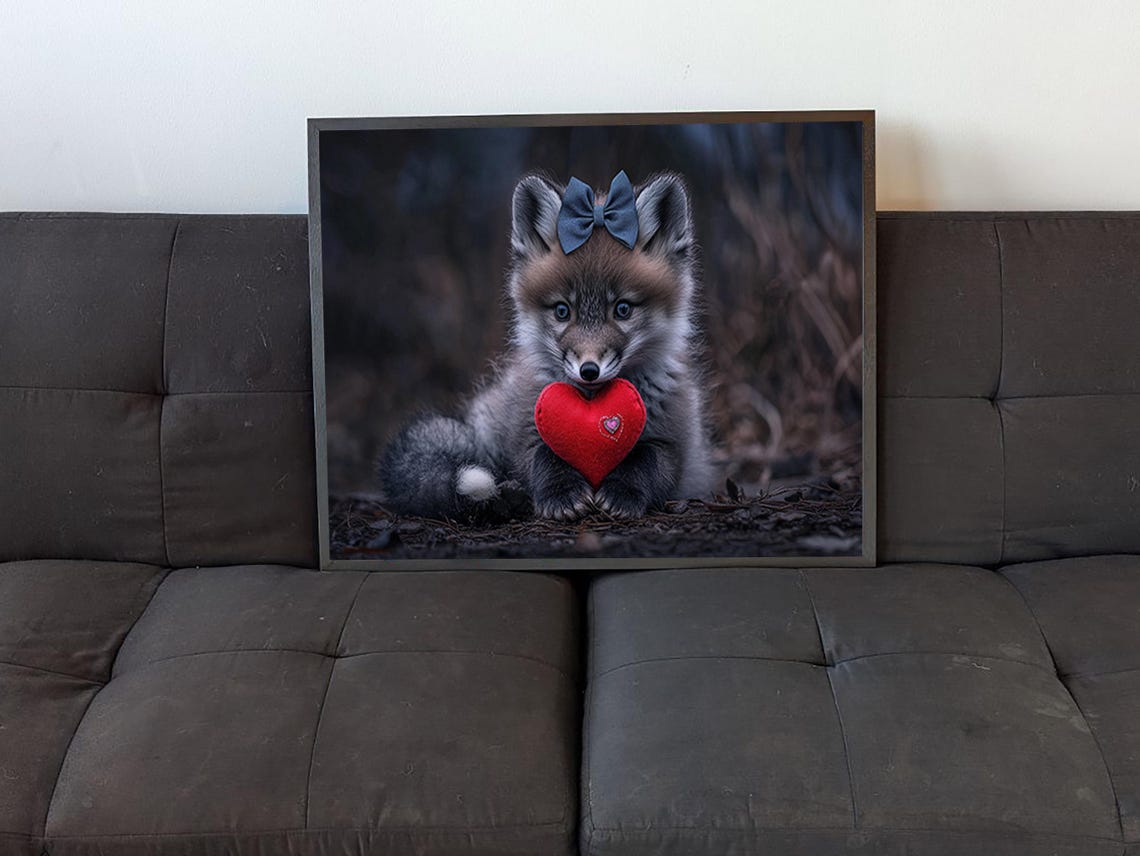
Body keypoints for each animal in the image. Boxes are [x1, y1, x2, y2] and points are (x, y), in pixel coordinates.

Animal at [378, 170, 715, 521]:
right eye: (562, 311)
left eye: (623, 309)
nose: (589, 370)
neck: (592, 401)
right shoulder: (526, 433)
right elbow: (544, 457)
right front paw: (561, 494)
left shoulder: (673, 445)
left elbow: (645, 461)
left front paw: (622, 493)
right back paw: (503, 499)